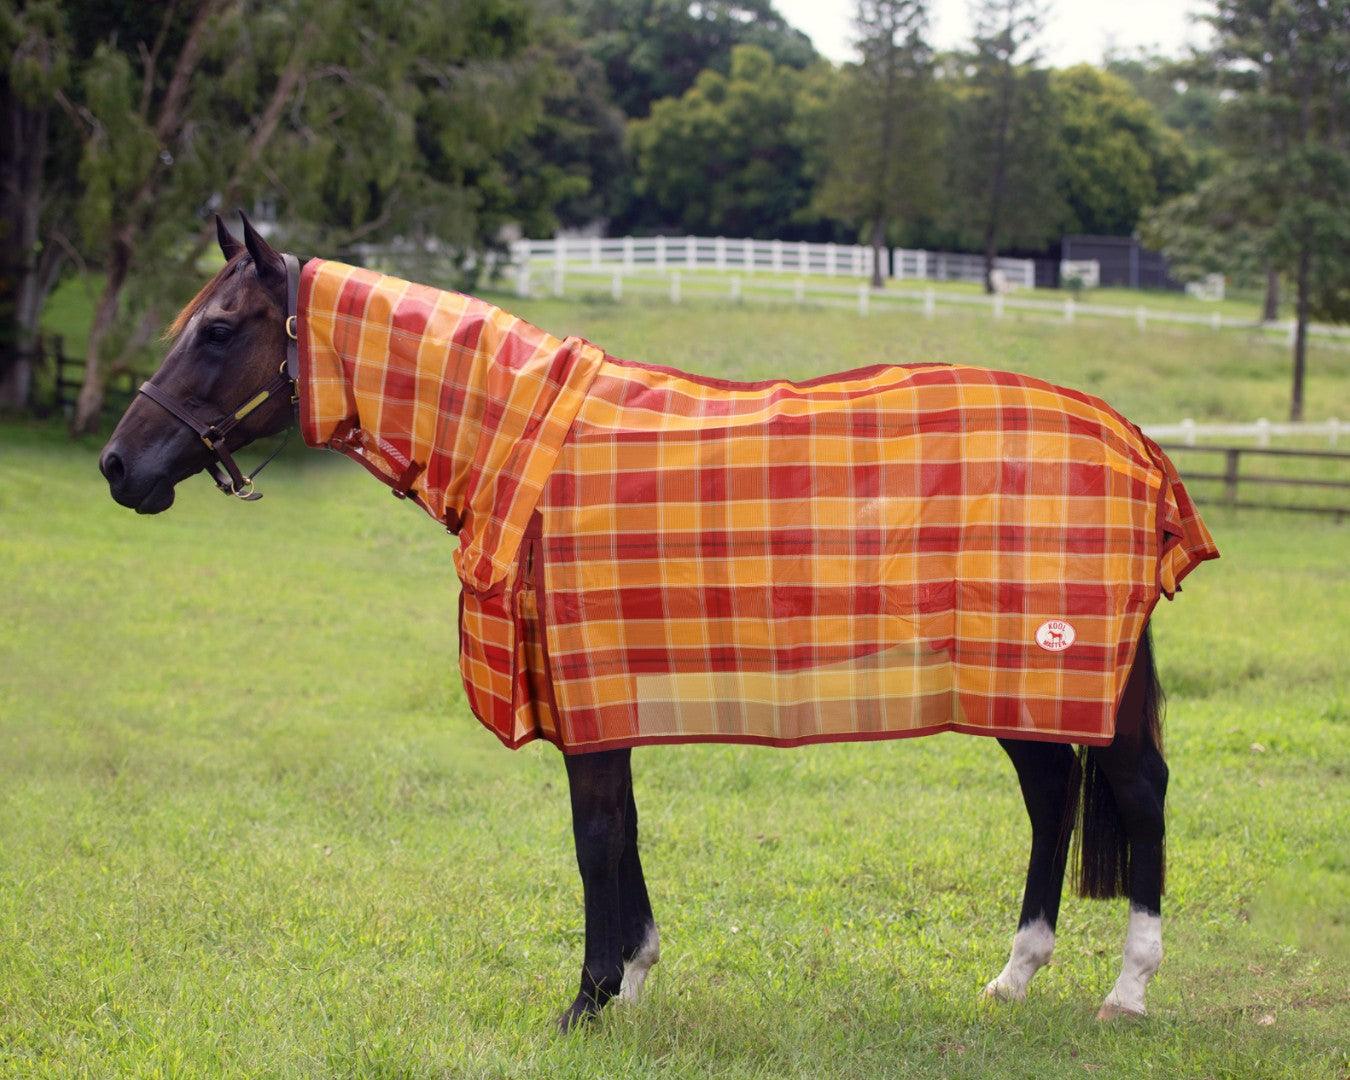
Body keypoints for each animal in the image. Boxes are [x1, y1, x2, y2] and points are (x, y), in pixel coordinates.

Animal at [99, 214, 1208, 1030]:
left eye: (217, 329)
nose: (119, 466)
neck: (521, 444)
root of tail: (1135, 443)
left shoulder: (588, 689)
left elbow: (595, 838)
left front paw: (587, 1002)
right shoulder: (600, 694)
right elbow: (620, 835)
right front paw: (629, 980)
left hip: (1065, 670)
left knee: (1136, 791)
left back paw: (1128, 990)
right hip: (1006, 675)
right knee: (1052, 796)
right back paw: (1015, 974)